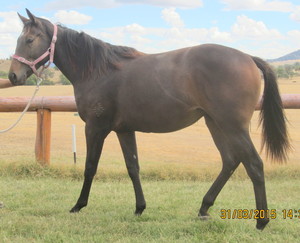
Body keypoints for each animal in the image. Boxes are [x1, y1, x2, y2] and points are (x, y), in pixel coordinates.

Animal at [8, 9, 290, 230]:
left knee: (254, 164)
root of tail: (248, 57)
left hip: (232, 126)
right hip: (215, 123)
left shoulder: (96, 128)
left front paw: (78, 205)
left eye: (30, 39)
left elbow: (90, 167)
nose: (13, 76)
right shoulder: (124, 130)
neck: (98, 70)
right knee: (231, 161)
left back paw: (261, 221)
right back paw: (204, 208)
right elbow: (133, 167)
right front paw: (139, 208)